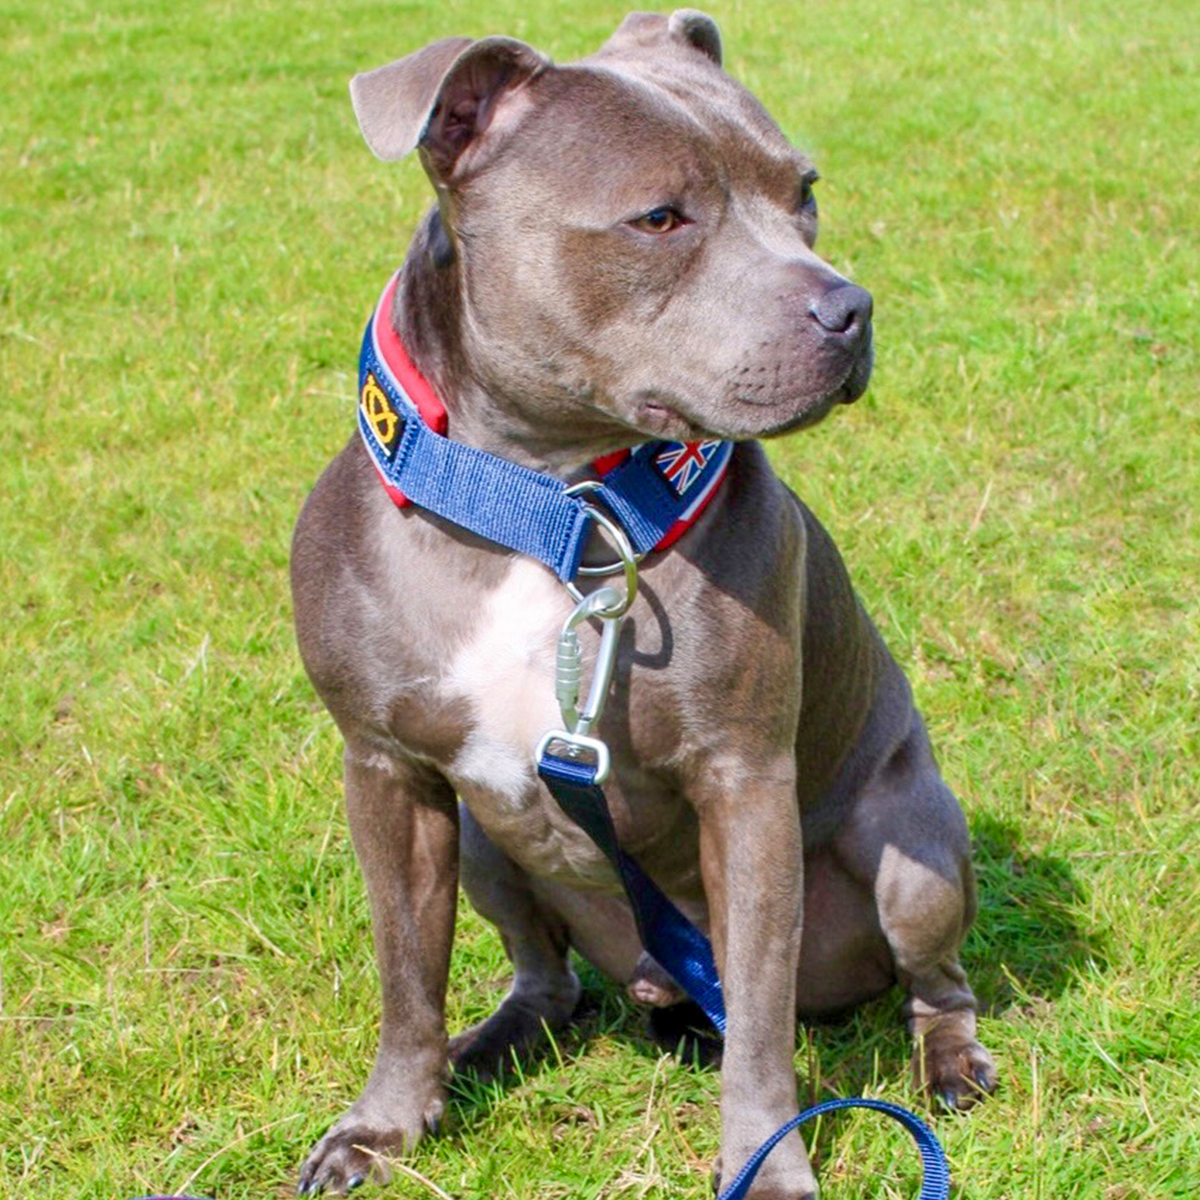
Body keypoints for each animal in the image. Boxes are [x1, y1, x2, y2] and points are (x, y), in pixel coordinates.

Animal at [288, 11, 993, 1200]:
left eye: (804, 190)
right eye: (659, 218)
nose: (851, 308)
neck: (550, 504)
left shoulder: (742, 785)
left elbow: (758, 1020)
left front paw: (767, 1165)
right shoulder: (387, 772)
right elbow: (404, 975)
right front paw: (386, 1124)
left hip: (910, 844)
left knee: (929, 977)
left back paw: (948, 1061)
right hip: (484, 839)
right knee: (549, 979)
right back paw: (491, 1046)